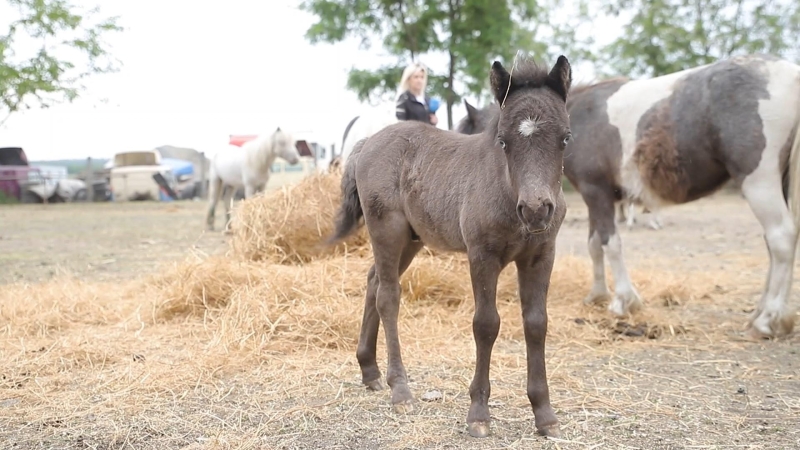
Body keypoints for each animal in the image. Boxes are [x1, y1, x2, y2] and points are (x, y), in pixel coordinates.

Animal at [456, 53, 800, 342]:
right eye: (502, 140)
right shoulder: (596, 196)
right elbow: (594, 244)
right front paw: (597, 295)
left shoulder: (597, 192)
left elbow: (610, 243)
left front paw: (623, 300)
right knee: (774, 245)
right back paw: (763, 313)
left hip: (759, 182)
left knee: (781, 238)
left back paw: (768, 320)